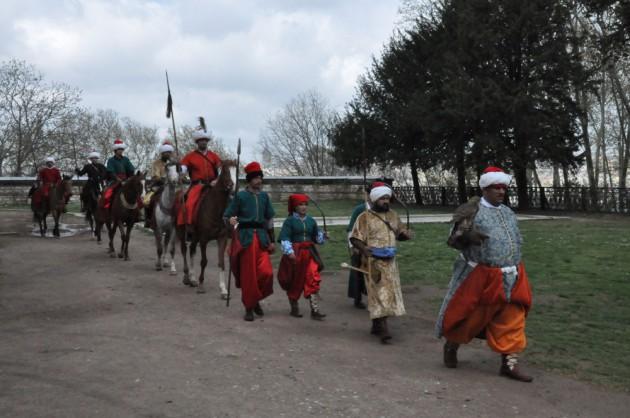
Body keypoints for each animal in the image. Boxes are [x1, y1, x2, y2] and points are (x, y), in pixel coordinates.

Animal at [177, 158, 238, 296]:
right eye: (225, 170)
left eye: (236, 171)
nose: (232, 188)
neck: (216, 209)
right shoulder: (204, 239)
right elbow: (204, 261)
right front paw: (201, 285)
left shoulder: (222, 238)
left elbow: (221, 262)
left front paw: (223, 289)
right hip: (182, 232)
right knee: (184, 250)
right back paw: (186, 277)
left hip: (195, 236)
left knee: (192, 250)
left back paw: (192, 278)